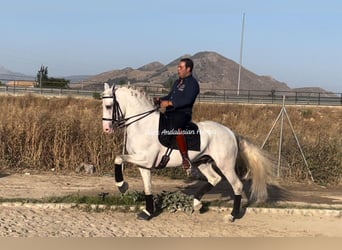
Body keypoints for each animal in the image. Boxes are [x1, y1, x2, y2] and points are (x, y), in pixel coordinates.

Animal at [101, 83, 276, 221]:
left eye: (109, 106)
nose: (106, 129)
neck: (143, 124)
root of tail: (231, 132)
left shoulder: (145, 159)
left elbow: (118, 158)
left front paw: (122, 186)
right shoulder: (143, 164)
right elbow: (147, 188)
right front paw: (147, 212)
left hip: (225, 165)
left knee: (237, 185)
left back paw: (231, 215)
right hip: (203, 162)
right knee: (214, 179)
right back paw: (196, 203)